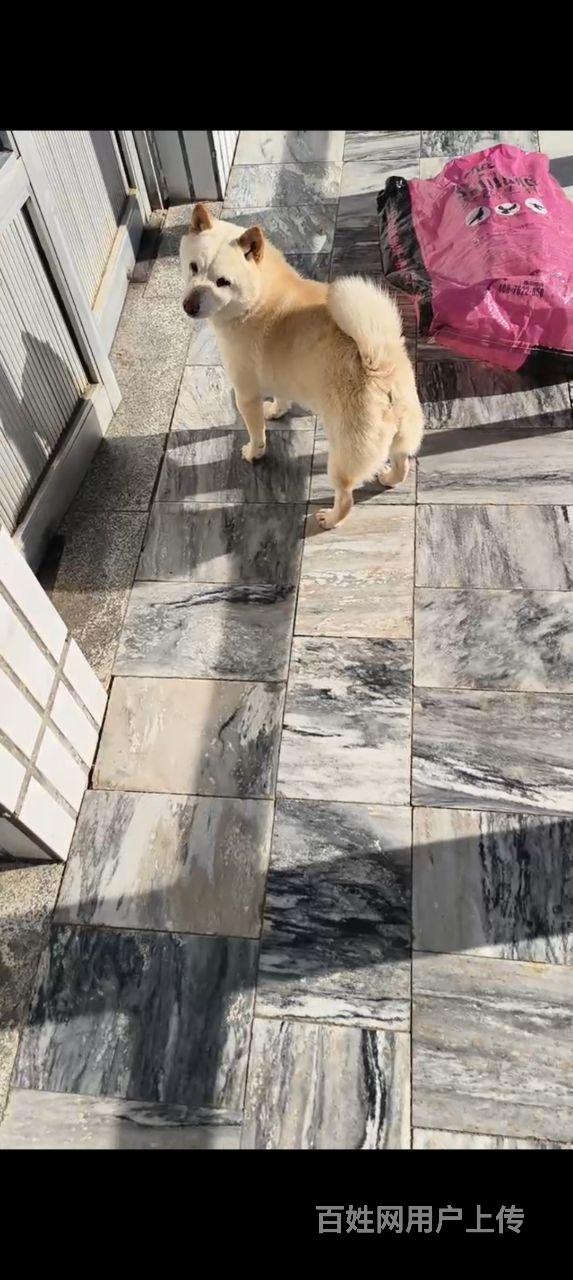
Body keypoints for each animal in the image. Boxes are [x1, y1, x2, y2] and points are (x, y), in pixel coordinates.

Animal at [180, 202, 424, 528]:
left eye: (222, 282)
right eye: (194, 267)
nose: (189, 305)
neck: (258, 297)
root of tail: (379, 366)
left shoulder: (245, 394)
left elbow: (256, 433)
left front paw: (254, 451)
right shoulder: (280, 374)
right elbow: (281, 399)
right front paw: (276, 411)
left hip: (344, 455)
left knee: (346, 496)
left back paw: (330, 519)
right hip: (401, 435)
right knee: (402, 461)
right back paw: (390, 478)